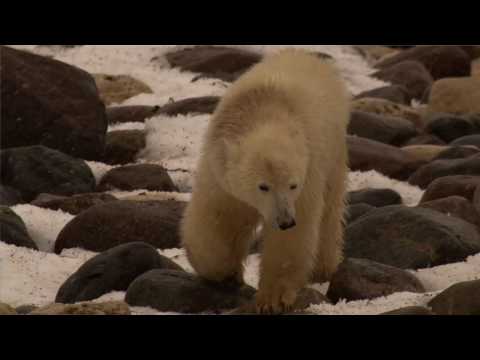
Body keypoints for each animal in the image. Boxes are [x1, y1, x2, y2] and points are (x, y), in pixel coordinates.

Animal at [182, 49, 350, 314]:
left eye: (293, 185)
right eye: (263, 186)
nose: (285, 221)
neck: (264, 112)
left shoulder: (309, 171)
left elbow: (294, 236)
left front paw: (273, 299)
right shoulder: (219, 167)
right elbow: (220, 215)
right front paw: (223, 272)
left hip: (334, 149)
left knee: (330, 209)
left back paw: (323, 268)